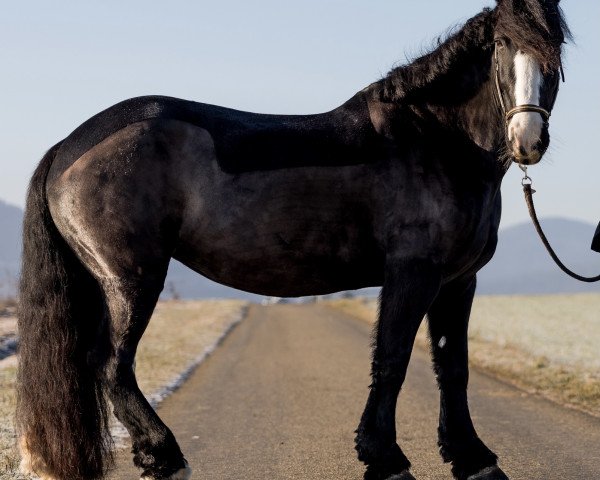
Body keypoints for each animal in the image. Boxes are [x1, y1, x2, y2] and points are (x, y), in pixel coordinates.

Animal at [17, 0, 568, 480]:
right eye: (502, 44)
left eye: (556, 45)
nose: (527, 139)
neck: (436, 141)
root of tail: (68, 145)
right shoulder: (413, 273)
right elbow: (392, 360)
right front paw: (386, 459)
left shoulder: (458, 281)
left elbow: (453, 367)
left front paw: (474, 459)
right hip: (132, 280)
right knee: (112, 367)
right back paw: (166, 459)